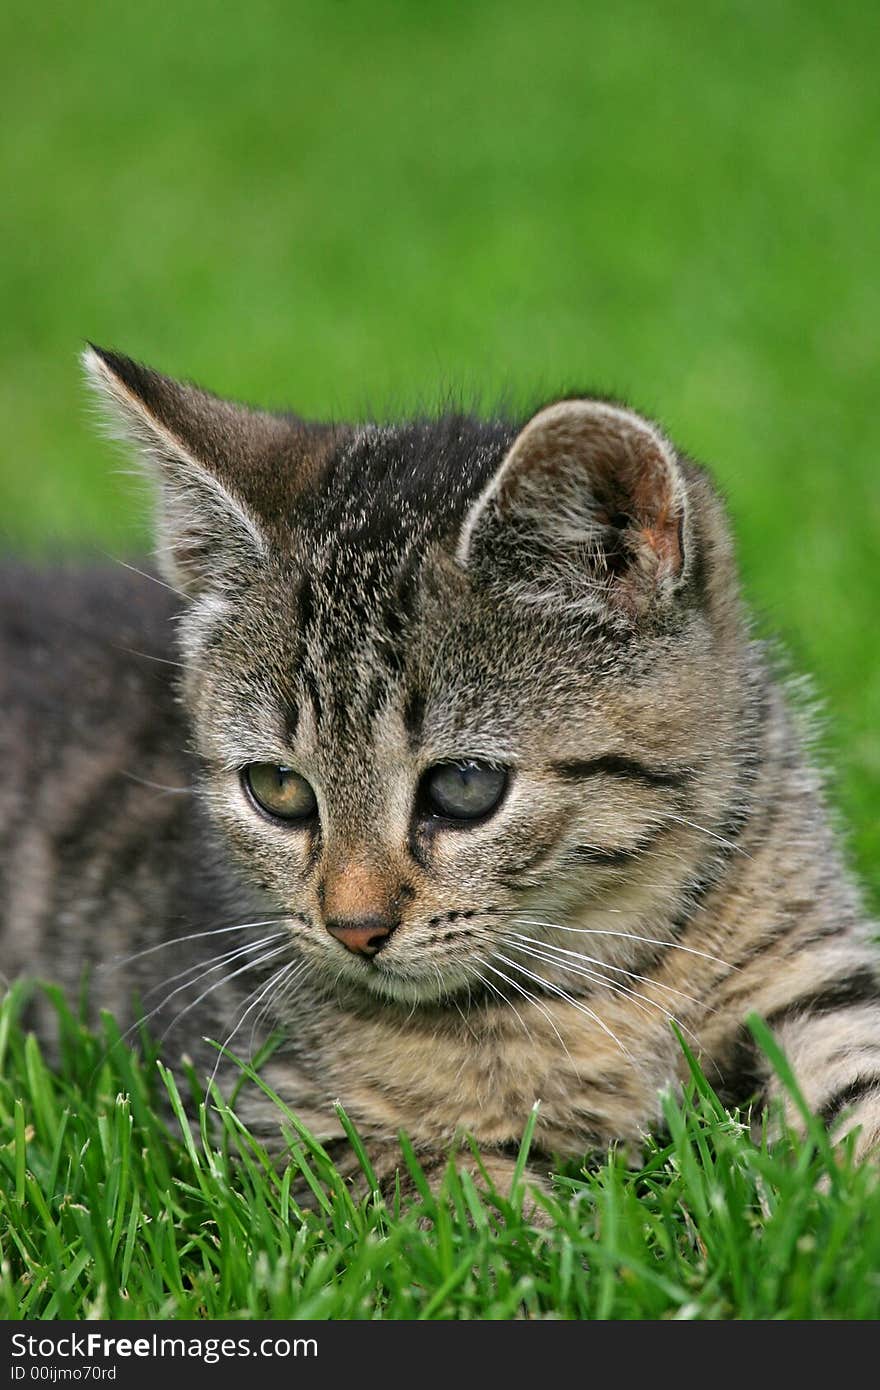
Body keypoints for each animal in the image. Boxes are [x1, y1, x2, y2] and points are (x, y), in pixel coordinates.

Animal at [0, 341, 873, 1200]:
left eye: (464, 787)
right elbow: (451, 1188)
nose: (354, 929)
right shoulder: (261, 1110)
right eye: (279, 791)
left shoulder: (813, 967)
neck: (602, 974)